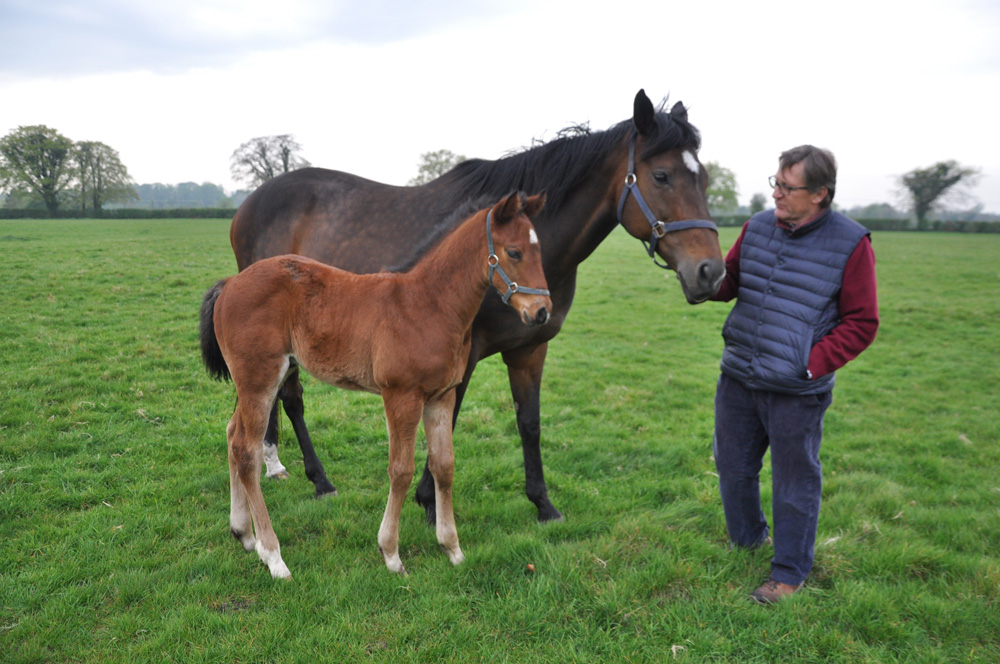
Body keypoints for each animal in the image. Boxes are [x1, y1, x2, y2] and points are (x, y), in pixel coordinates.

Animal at [199, 192, 552, 576]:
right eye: (514, 251)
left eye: (540, 250)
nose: (542, 311)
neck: (430, 305)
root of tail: (229, 284)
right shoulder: (401, 396)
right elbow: (401, 470)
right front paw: (391, 554)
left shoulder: (442, 396)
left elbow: (444, 466)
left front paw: (452, 549)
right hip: (259, 380)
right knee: (247, 451)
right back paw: (274, 556)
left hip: (256, 381)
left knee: (233, 436)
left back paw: (244, 534)